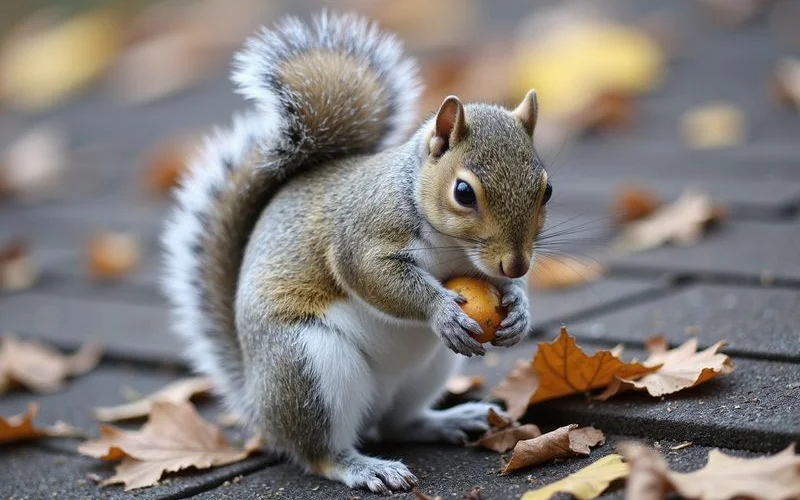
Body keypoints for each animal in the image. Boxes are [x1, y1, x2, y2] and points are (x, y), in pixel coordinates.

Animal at [162, 11, 551, 494]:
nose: (516, 263)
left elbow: (501, 286)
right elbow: (372, 276)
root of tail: (256, 402)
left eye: (547, 190)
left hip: (428, 370)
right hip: (310, 365)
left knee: (398, 422)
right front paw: (441, 310)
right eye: (463, 192)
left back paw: (446, 420)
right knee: (319, 451)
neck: (454, 247)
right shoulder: (361, 235)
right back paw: (365, 467)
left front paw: (518, 308)